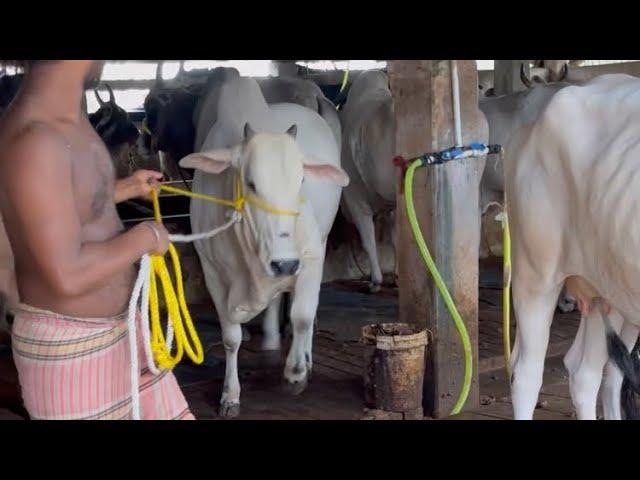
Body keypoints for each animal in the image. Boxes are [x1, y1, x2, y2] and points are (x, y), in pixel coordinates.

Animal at [180, 76, 350, 416]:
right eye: (251, 183)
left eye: (301, 182)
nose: (284, 263)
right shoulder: (213, 274)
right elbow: (231, 338)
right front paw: (230, 395)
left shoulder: (310, 258)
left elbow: (302, 316)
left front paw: (296, 372)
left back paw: (305, 357)